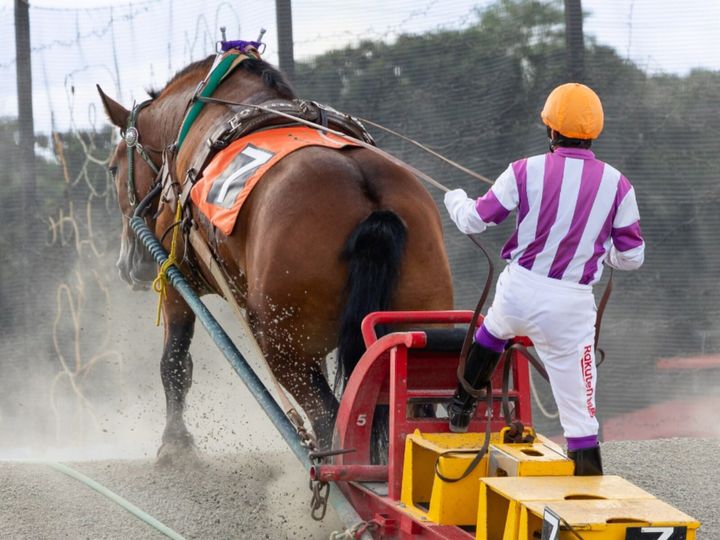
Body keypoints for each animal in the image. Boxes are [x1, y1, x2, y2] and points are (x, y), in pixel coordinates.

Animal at [97, 51, 453, 464]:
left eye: (112, 167)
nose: (128, 265)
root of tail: (370, 201)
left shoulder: (176, 275)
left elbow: (174, 362)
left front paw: (175, 445)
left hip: (282, 347)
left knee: (326, 416)